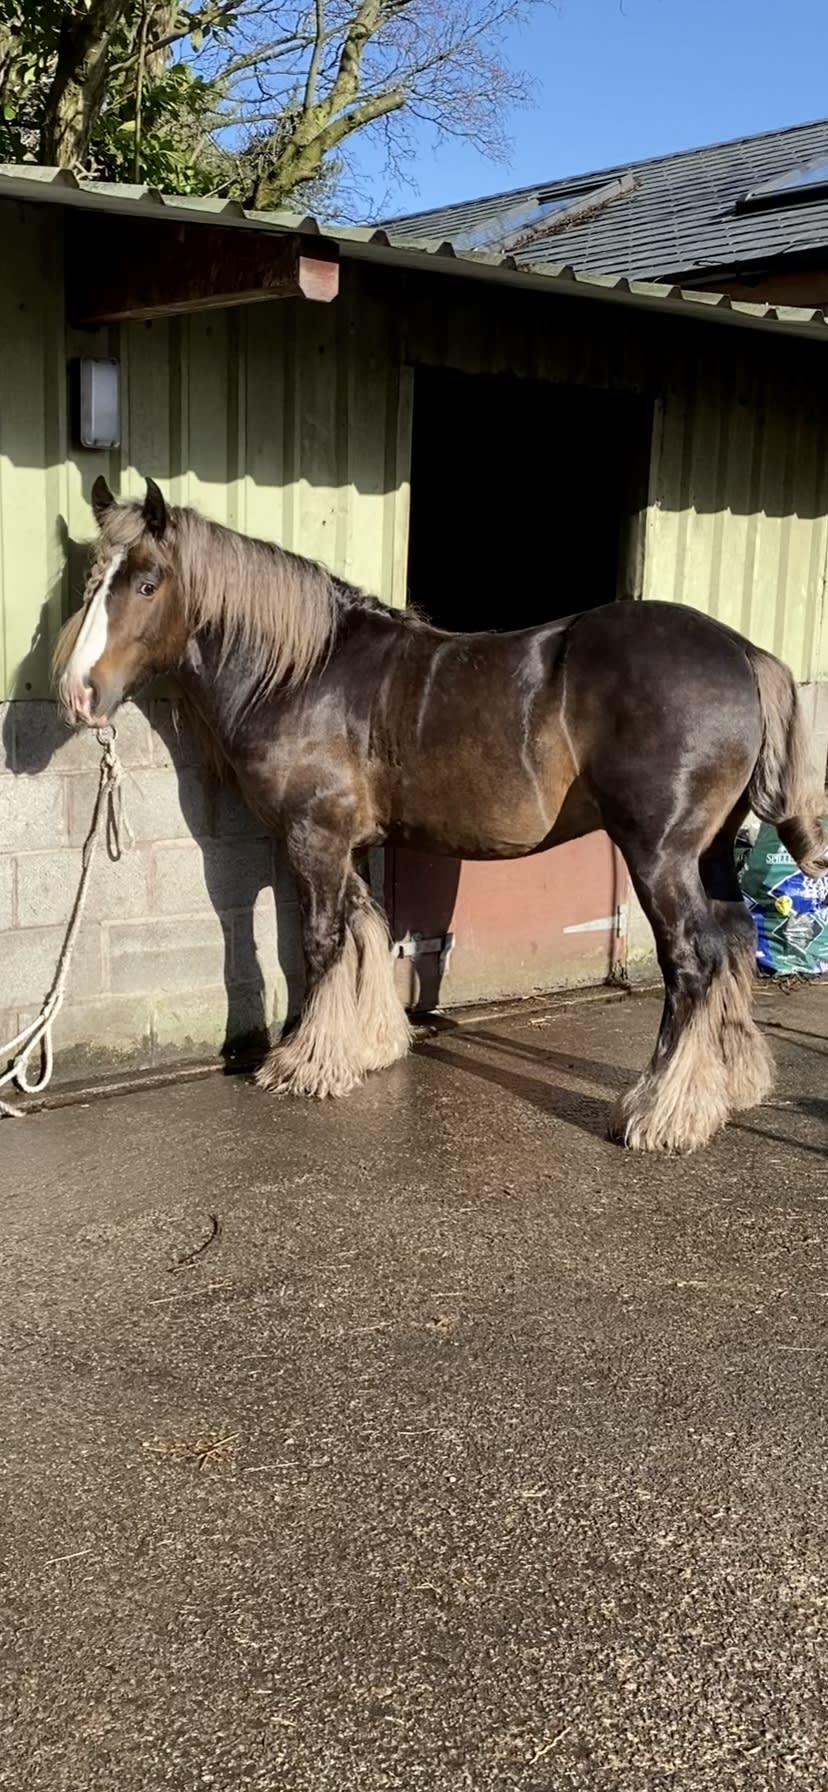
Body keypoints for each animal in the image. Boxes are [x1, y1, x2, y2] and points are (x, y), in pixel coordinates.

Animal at [53, 476, 826, 1155]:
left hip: (660, 855)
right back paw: (730, 1084)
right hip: (710, 852)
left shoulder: (312, 839)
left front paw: (306, 1062)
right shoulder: (349, 844)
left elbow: (321, 943)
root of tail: (742, 651)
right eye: (94, 579)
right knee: (735, 939)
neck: (306, 673)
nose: (78, 693)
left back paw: (659, 1114)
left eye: (146, 582)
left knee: (693, 960)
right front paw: (369, 1045)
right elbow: (366, 929)